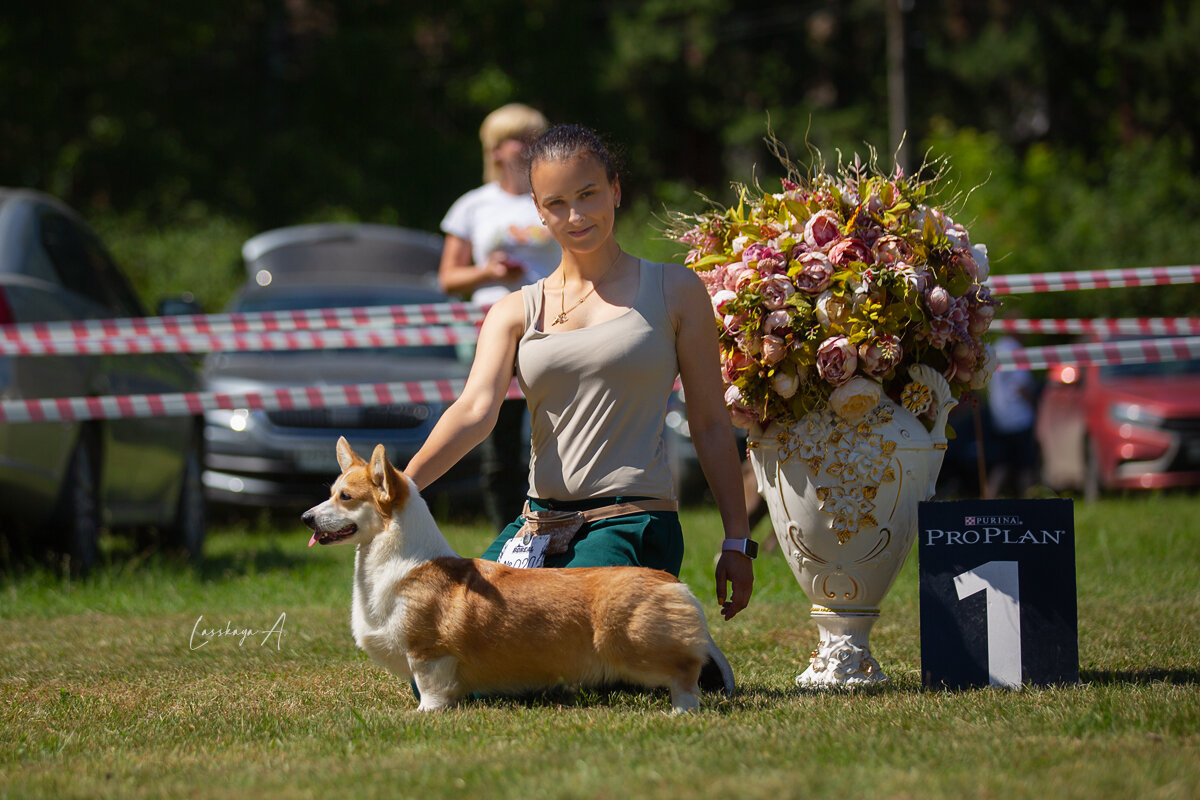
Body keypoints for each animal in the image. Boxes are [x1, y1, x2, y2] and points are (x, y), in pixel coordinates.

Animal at [300, 438, 729, 714]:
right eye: (331, 492)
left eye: (346, 498)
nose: (305, 517)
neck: (400, 560)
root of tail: (671, 581)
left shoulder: (429, 653)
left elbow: (431, 689)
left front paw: (424, 715)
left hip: (635, 645)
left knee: (685, 671)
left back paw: (681, 712)